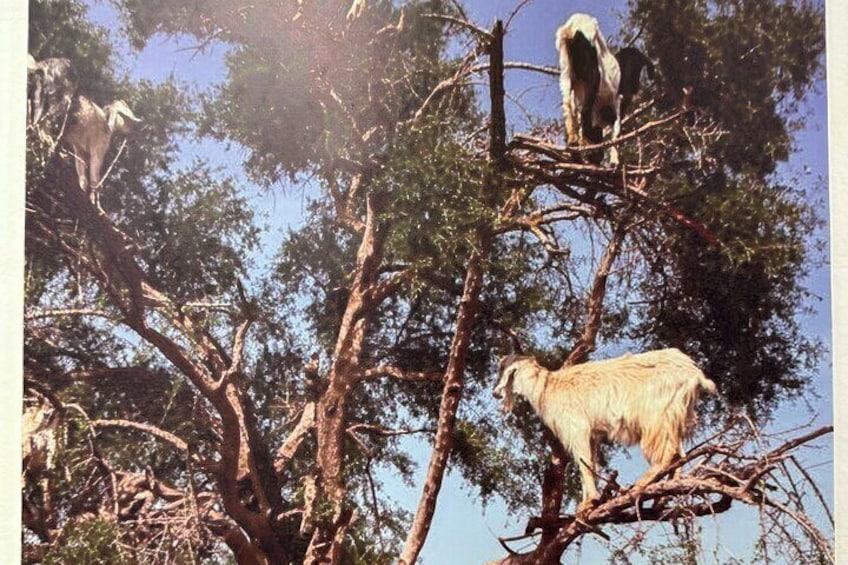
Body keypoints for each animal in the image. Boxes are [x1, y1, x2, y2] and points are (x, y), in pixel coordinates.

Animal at [494, 346, 720, 508]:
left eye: (504, 370)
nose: (495, 393)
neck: (547, 388)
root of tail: (695, 374)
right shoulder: (592, 435)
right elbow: (590, 464)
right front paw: (588, 501)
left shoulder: (577, 428)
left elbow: (584, 463)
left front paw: (588, 503)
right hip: (674, 414)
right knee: (679, 452)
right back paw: (668, 488)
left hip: (655, 416)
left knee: (667, 451)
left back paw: (641, 484)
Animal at [556, 13, 624, 165]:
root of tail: (570, 26)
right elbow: (615, 130)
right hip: (588, 50)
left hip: (566, 61)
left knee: (566, 98)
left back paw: (574, 145)